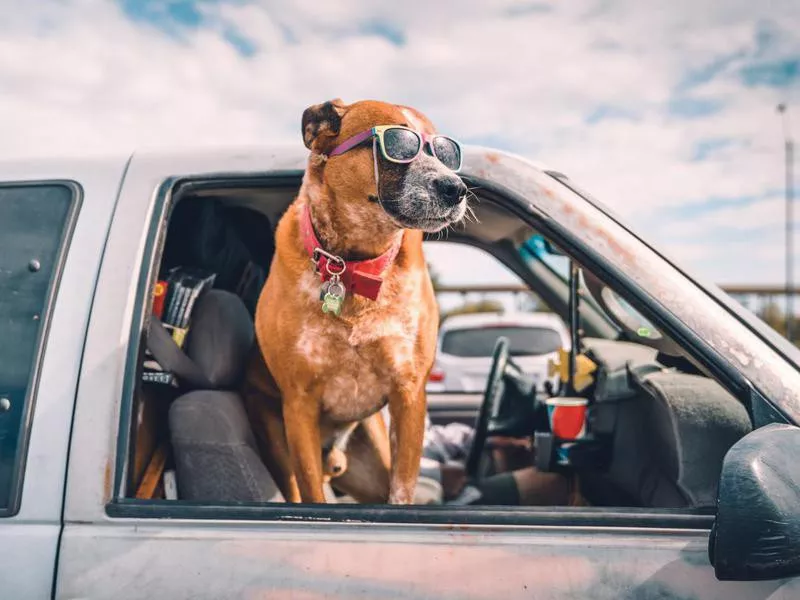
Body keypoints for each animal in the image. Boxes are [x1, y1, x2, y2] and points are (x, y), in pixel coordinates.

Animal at [244, 98, 468, 502]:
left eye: (447, 154)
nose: (455, 188)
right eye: (398, 146)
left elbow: (402, 491)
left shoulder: (409, 393)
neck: (354, 265)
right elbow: (313, 496)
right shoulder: (298, 405)